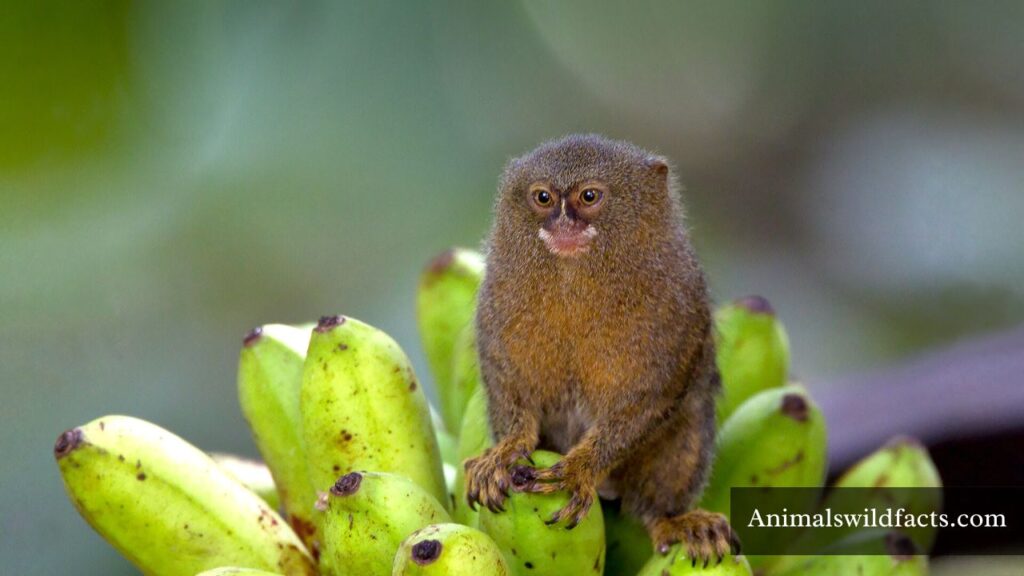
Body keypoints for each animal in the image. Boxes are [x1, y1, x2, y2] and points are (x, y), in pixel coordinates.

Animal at [464, 134, 739, 567]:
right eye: (543, 197)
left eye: (589, 196)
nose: (563, 221)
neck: (577, 281)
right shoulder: (498, 297)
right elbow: (506, 383)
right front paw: (507, 450)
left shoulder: (680, 304)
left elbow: (649, 401)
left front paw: (581, 468)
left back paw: (669, 519)